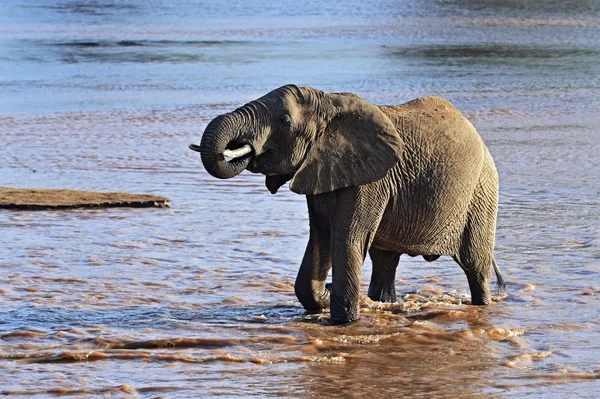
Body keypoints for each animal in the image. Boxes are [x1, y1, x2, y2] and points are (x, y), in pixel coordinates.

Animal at [190, 84, 504, 324]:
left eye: (284, 121)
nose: (241, 147)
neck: (327, 103)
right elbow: (321, 239)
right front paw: (327, 298)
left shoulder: (370, 181)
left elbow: (346, 239)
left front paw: (343, 320)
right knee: (384, 261)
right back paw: (382, 303)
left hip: (481, 193)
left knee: (475, 264)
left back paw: (482, 304)